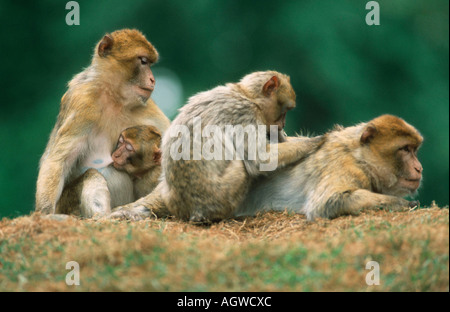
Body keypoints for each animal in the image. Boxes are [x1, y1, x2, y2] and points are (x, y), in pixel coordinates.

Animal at [36, 29, 171, 218]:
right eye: (143, 61)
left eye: (149, 63)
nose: (152, 80)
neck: (115, 99)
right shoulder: (82, 101)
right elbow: (58, 160)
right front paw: (45, 212)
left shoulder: (148, 108)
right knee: (93, 174)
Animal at [110, 70, 324, 222]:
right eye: (285, 111)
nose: (283, 124)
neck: (246, 95)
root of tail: (189, 210)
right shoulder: (246, 114)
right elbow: (260, 159)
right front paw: (313, 142)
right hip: (222, 195)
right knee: (241, 165)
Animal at [237, 114, 424, 219]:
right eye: (405, 149)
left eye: (414, 150)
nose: (419, 168)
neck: (359, 158)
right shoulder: (345, 166)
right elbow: (328, 203)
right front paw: (403, 203)